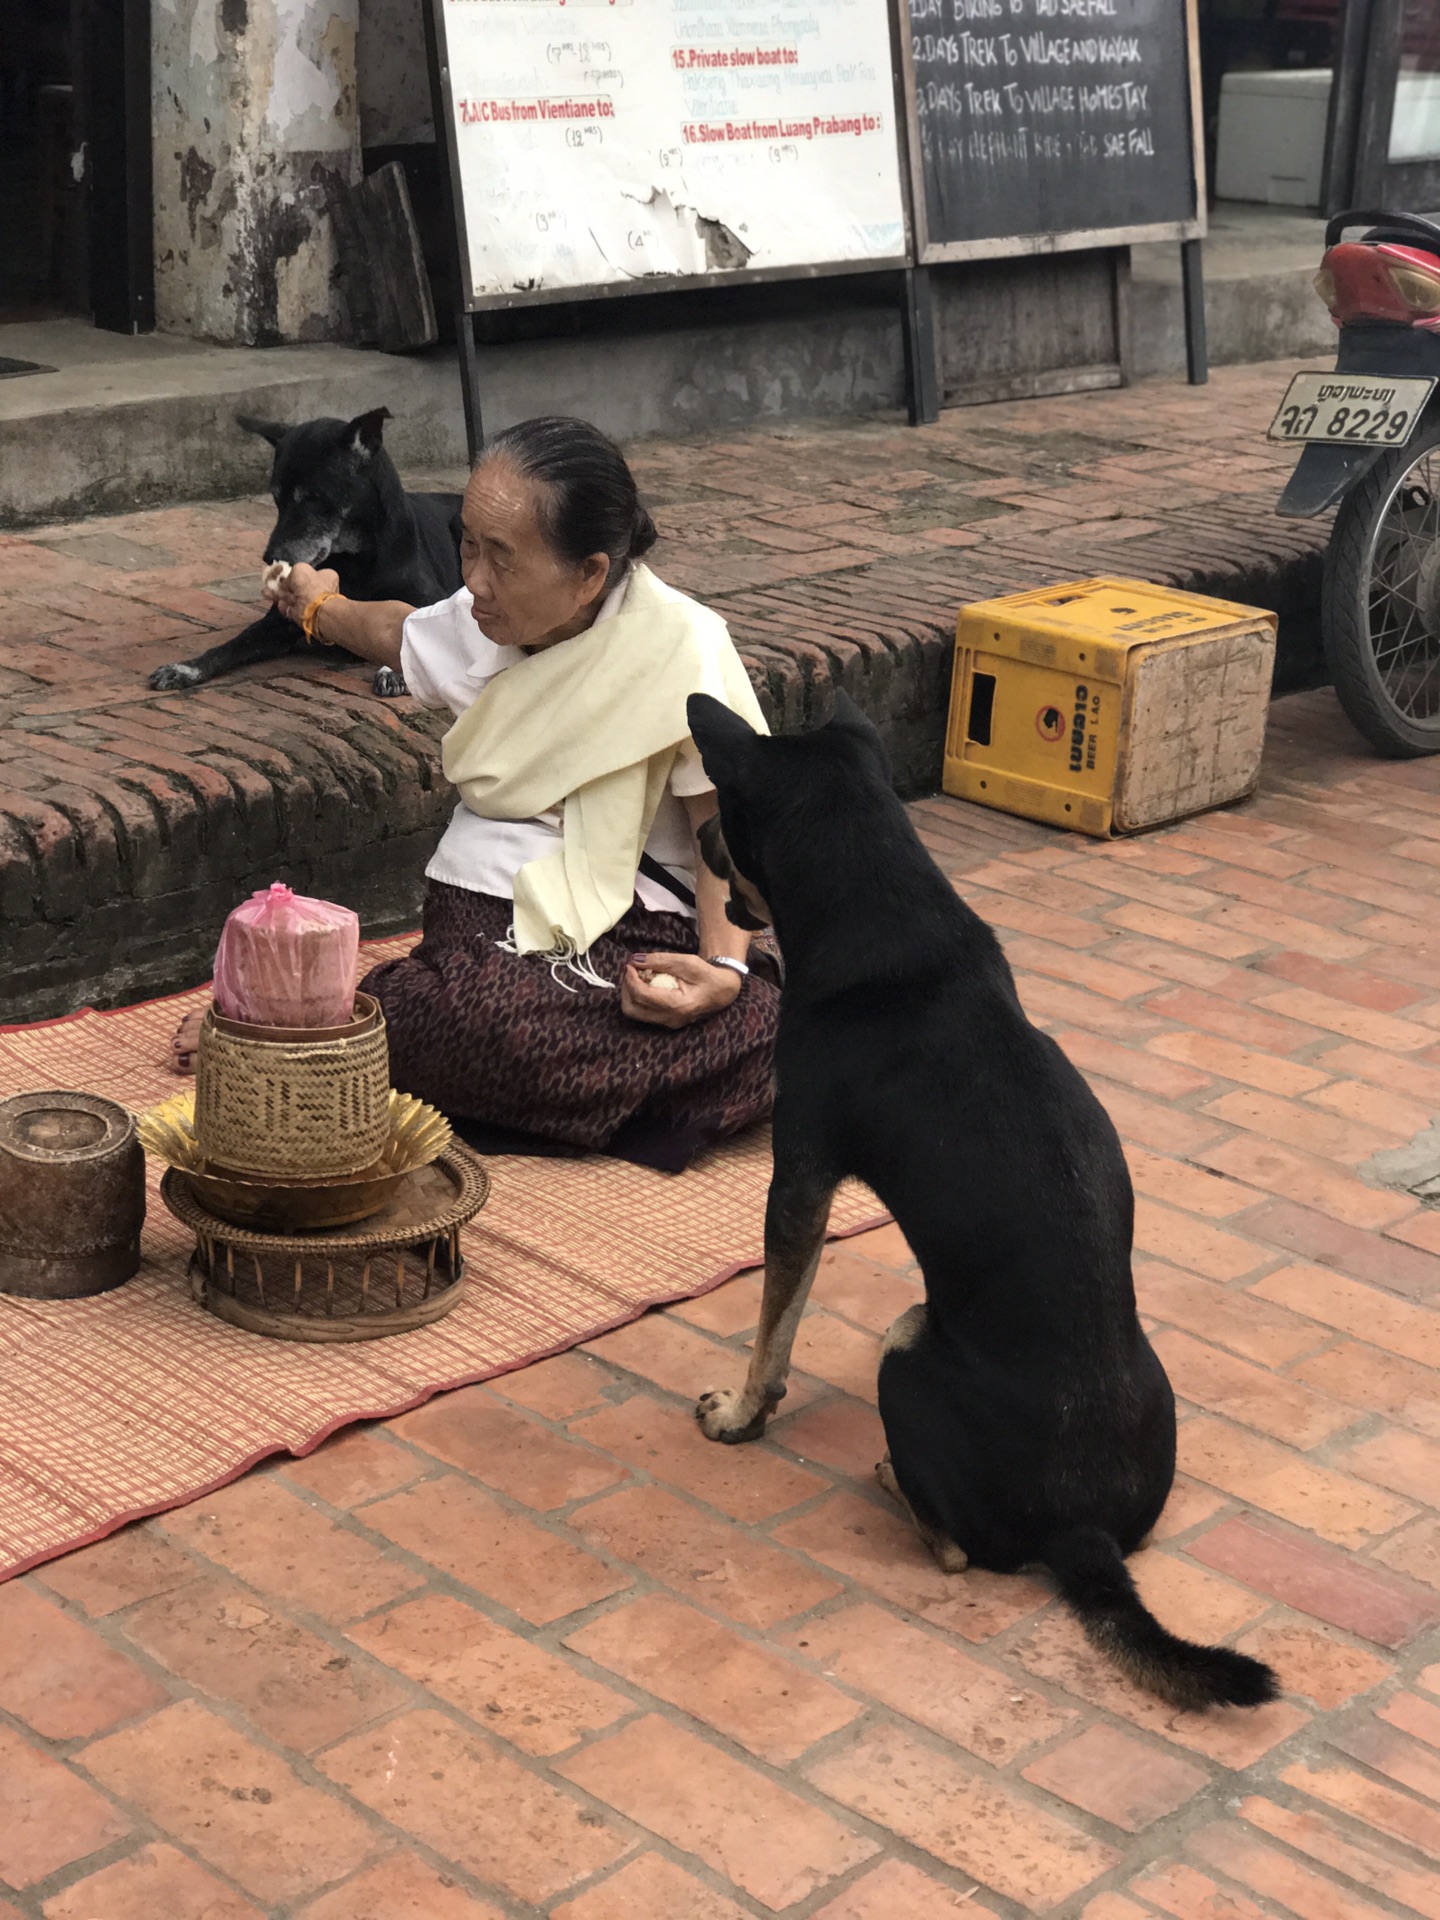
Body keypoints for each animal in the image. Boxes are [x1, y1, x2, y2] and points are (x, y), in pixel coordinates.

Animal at [146, 407, 462, 698]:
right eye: (277, 499)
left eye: (313, 498)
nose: (270, 557)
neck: (356, 559)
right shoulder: (279, 621)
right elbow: (232, 644)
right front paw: (186, 668)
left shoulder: (432, 599)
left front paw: (393, 671)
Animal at [695, 691, 1282, 1712]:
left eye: (725, 821)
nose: (689, 837)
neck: (877, 894)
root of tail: (1084, 1536)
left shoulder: (797, 1174)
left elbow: (774, 1324)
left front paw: (740, 1413)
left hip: (905, 1339)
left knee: (958, 1552)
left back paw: (890, 1476)